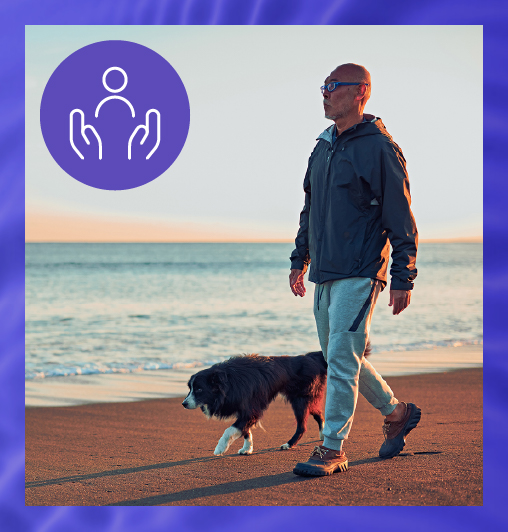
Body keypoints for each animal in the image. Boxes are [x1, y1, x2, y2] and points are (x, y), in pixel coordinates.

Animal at [184, 342, 374, 456]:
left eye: (199, 389)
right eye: (189, 388)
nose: (184, 403)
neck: (229, 381)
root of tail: (311, 356)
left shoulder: (250, 408)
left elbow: (231, 429)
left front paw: (220, 447)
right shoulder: (246, 409)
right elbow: (245, 429)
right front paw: (247, 448)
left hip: (299, 400)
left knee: (302, 426)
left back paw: (289, 444)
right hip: (306, 398)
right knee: (318, 412)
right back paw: (322, 433)